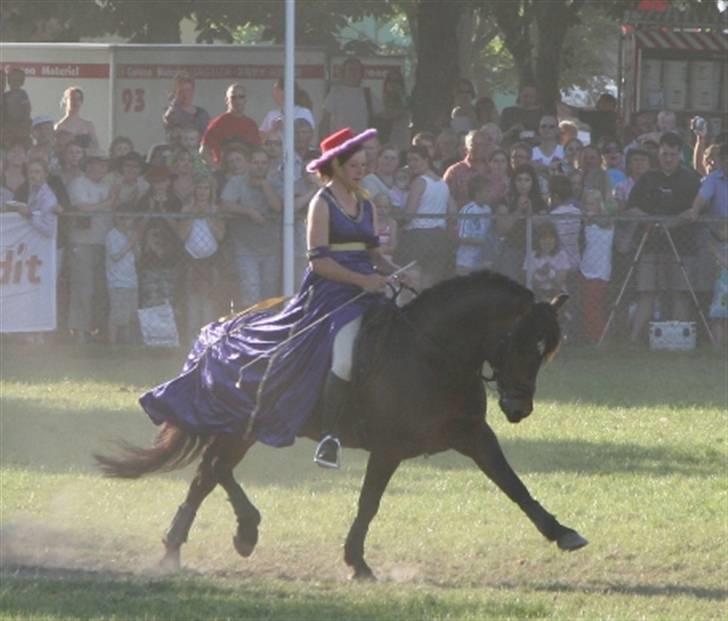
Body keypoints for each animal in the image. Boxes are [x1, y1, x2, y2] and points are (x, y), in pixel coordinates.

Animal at [95, 268, 584, 580]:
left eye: (545, 350)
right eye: (521, 343)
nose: (519, 408)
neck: (431, 352)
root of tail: (224, 325)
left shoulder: (473, 435)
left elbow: (513, 484)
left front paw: (562, 532)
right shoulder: (388, 448)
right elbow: (369, 502)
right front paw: (357, 563)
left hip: (241, 427)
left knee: (209, 472)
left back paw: (206, 540)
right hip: (242, 427)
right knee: (211, 472)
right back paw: (213, 538)